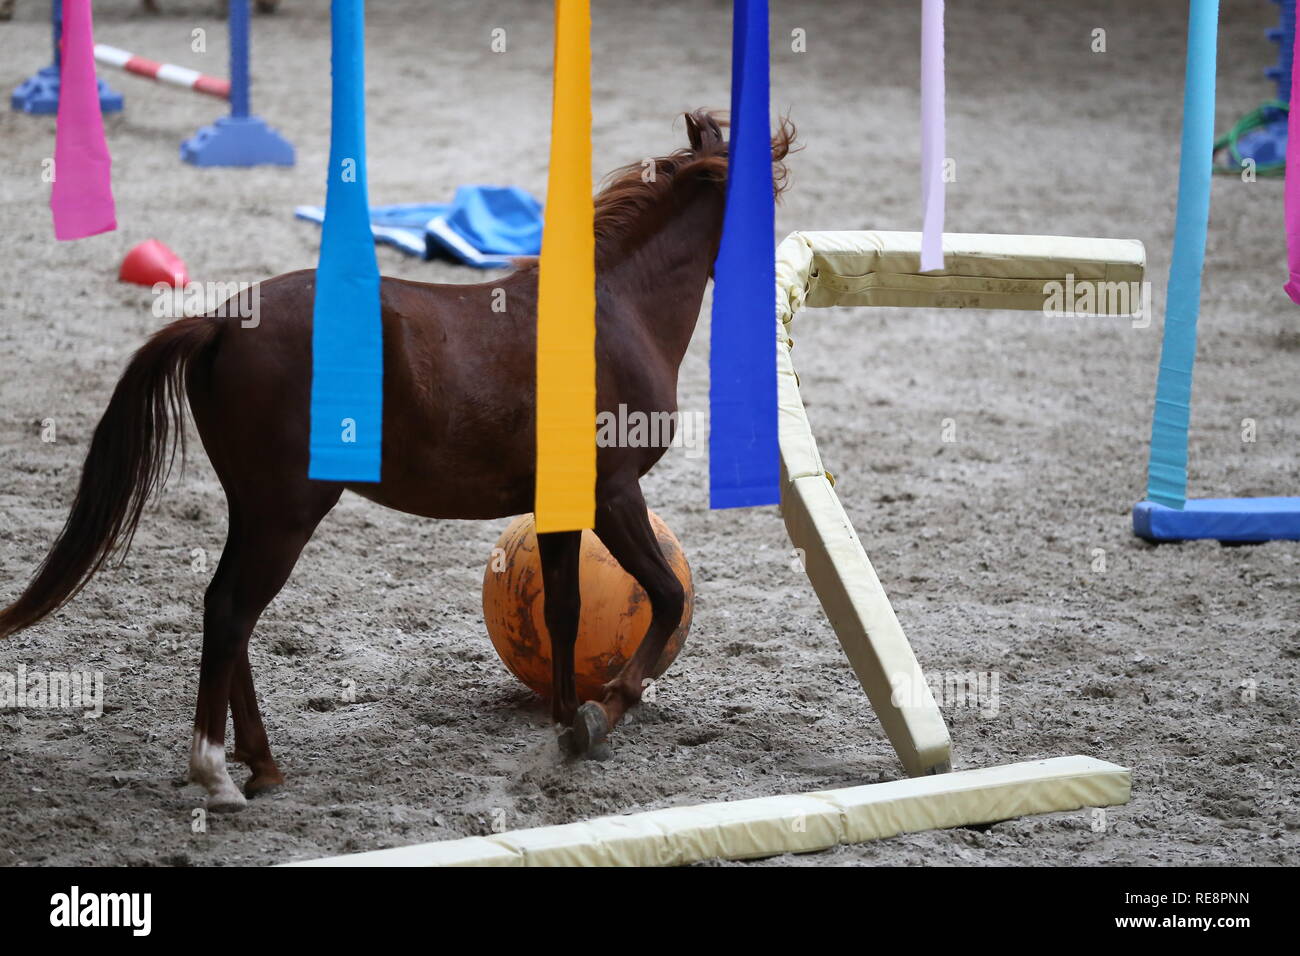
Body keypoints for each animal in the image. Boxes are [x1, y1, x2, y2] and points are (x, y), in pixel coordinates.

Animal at [0, 109, 796, 811]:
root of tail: (222, 321)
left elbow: (565, 613)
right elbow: (667, 597)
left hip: (256, 510)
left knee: (231, 615)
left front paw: (569, 723)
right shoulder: (614, 494)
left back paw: (261, 764)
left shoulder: (563, 507)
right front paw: (605, 712)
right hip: (285, 513)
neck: (609, 314)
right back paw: (219, 775)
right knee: (230, 613)